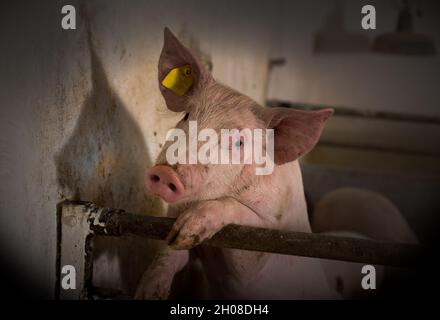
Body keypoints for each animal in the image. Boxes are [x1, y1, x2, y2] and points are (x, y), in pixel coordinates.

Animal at [136, 28, 338, 300]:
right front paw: (147, 291)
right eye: (187, 116)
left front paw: (191, 225)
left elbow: (240, 218)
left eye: (239, 142)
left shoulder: (269, 248)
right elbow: (170, 252)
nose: (166, 173)